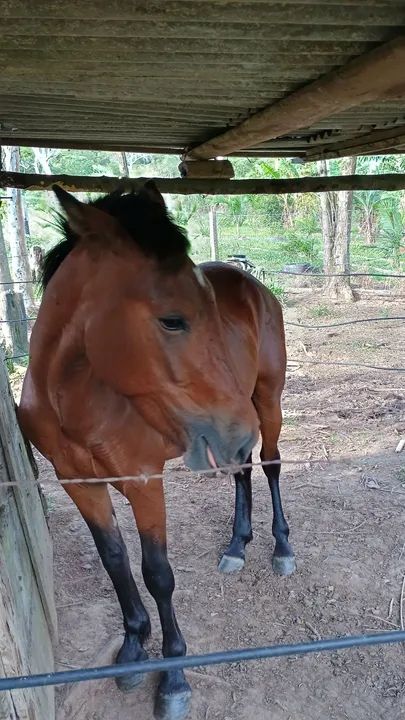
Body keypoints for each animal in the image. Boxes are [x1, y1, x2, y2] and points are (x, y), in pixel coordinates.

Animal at [18, 181, 295, 720]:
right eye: (172, 320)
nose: (239, 428)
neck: (77, 402)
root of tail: (252, 284)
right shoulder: (77, 482)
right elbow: (114, 559)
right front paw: (132, 646)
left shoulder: (145, 483)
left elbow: (157, 574)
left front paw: (172, 678)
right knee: (244, 472)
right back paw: (236, 546)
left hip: (265, 401)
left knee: (269, 465)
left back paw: (281, 547)